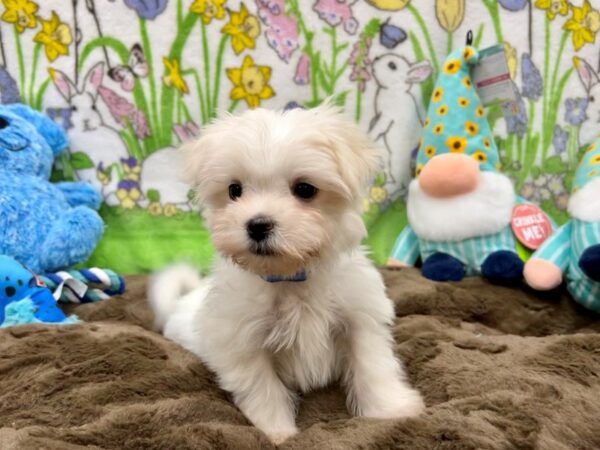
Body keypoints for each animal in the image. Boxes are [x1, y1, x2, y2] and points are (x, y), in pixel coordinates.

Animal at [148, 102, 424, 442]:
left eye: (305, 189)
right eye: (234, 190)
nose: (257, 225)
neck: (291, 276)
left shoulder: (360, 318)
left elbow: (372, 365)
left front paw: (391, 410)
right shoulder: (242, 342)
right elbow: (263, 388)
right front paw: (277, 432)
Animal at [368, 54, 434, 199]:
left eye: (392, 65)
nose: (375, 58)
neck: (395, 90)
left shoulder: (387, 116)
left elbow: (379, 128)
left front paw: (369, 136)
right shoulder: (380, 114)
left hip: (394, 162)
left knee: (398, 184)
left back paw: (388, 190)